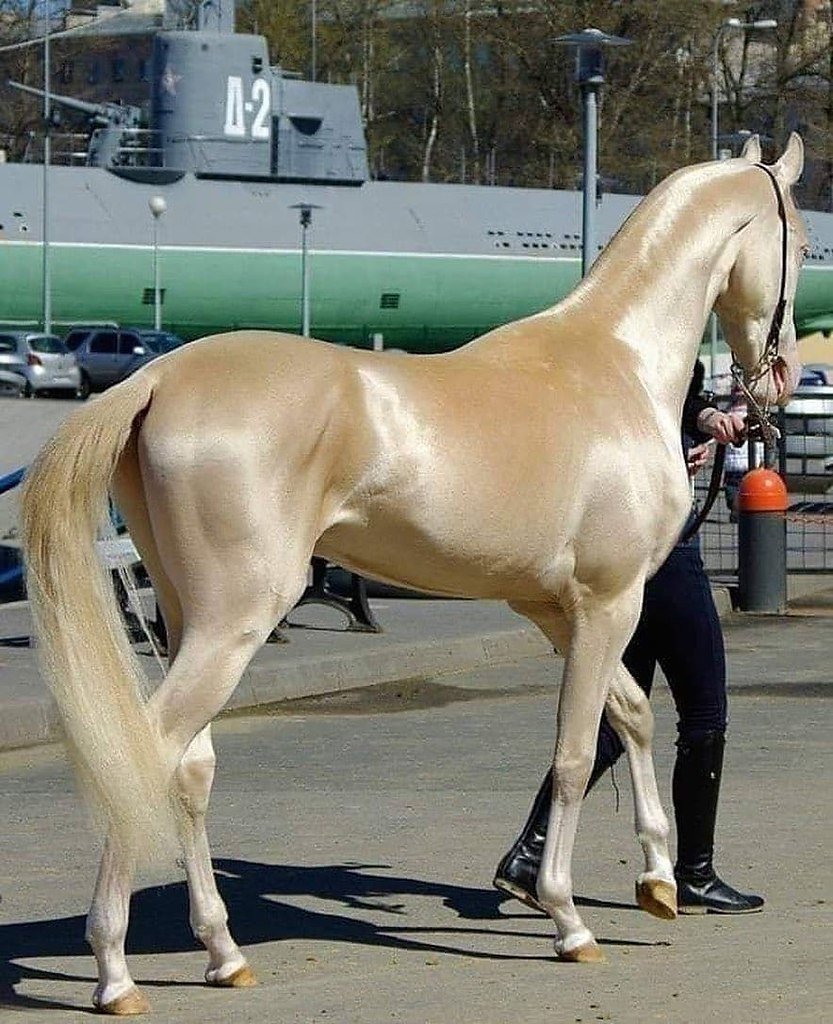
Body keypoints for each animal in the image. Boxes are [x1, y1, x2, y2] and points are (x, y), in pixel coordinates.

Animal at [21, 133, 806, 1014]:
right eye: (802, 242)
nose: (778, 376)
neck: (613, 366)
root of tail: (157, 378)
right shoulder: (608, 603)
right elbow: (574, 754)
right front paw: (569, 920)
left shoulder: (557, 611)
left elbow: (630, 718)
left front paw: (659, 879)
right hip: (234, 624)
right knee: (143, 755)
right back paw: (115, 974)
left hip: (192, 620)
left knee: (190, 769)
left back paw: (223, 953)